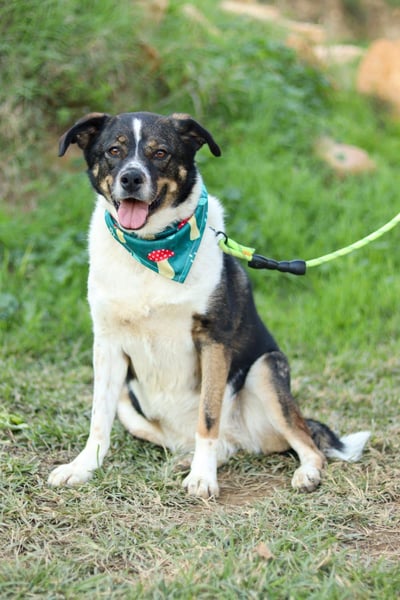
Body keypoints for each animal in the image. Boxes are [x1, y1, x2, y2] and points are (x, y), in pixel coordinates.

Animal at [48, 111, 370, 498]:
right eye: (114, 150)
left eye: (160, 153)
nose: (131, 178)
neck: (152, 250)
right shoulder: (107, 343)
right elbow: (99, 418)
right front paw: (81, 467)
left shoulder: (213, 339)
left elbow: (208, 415)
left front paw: (203, 477)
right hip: (131, 403)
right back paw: (185, 459)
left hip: (265, 370)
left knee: (304, 443)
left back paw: (302, 472)